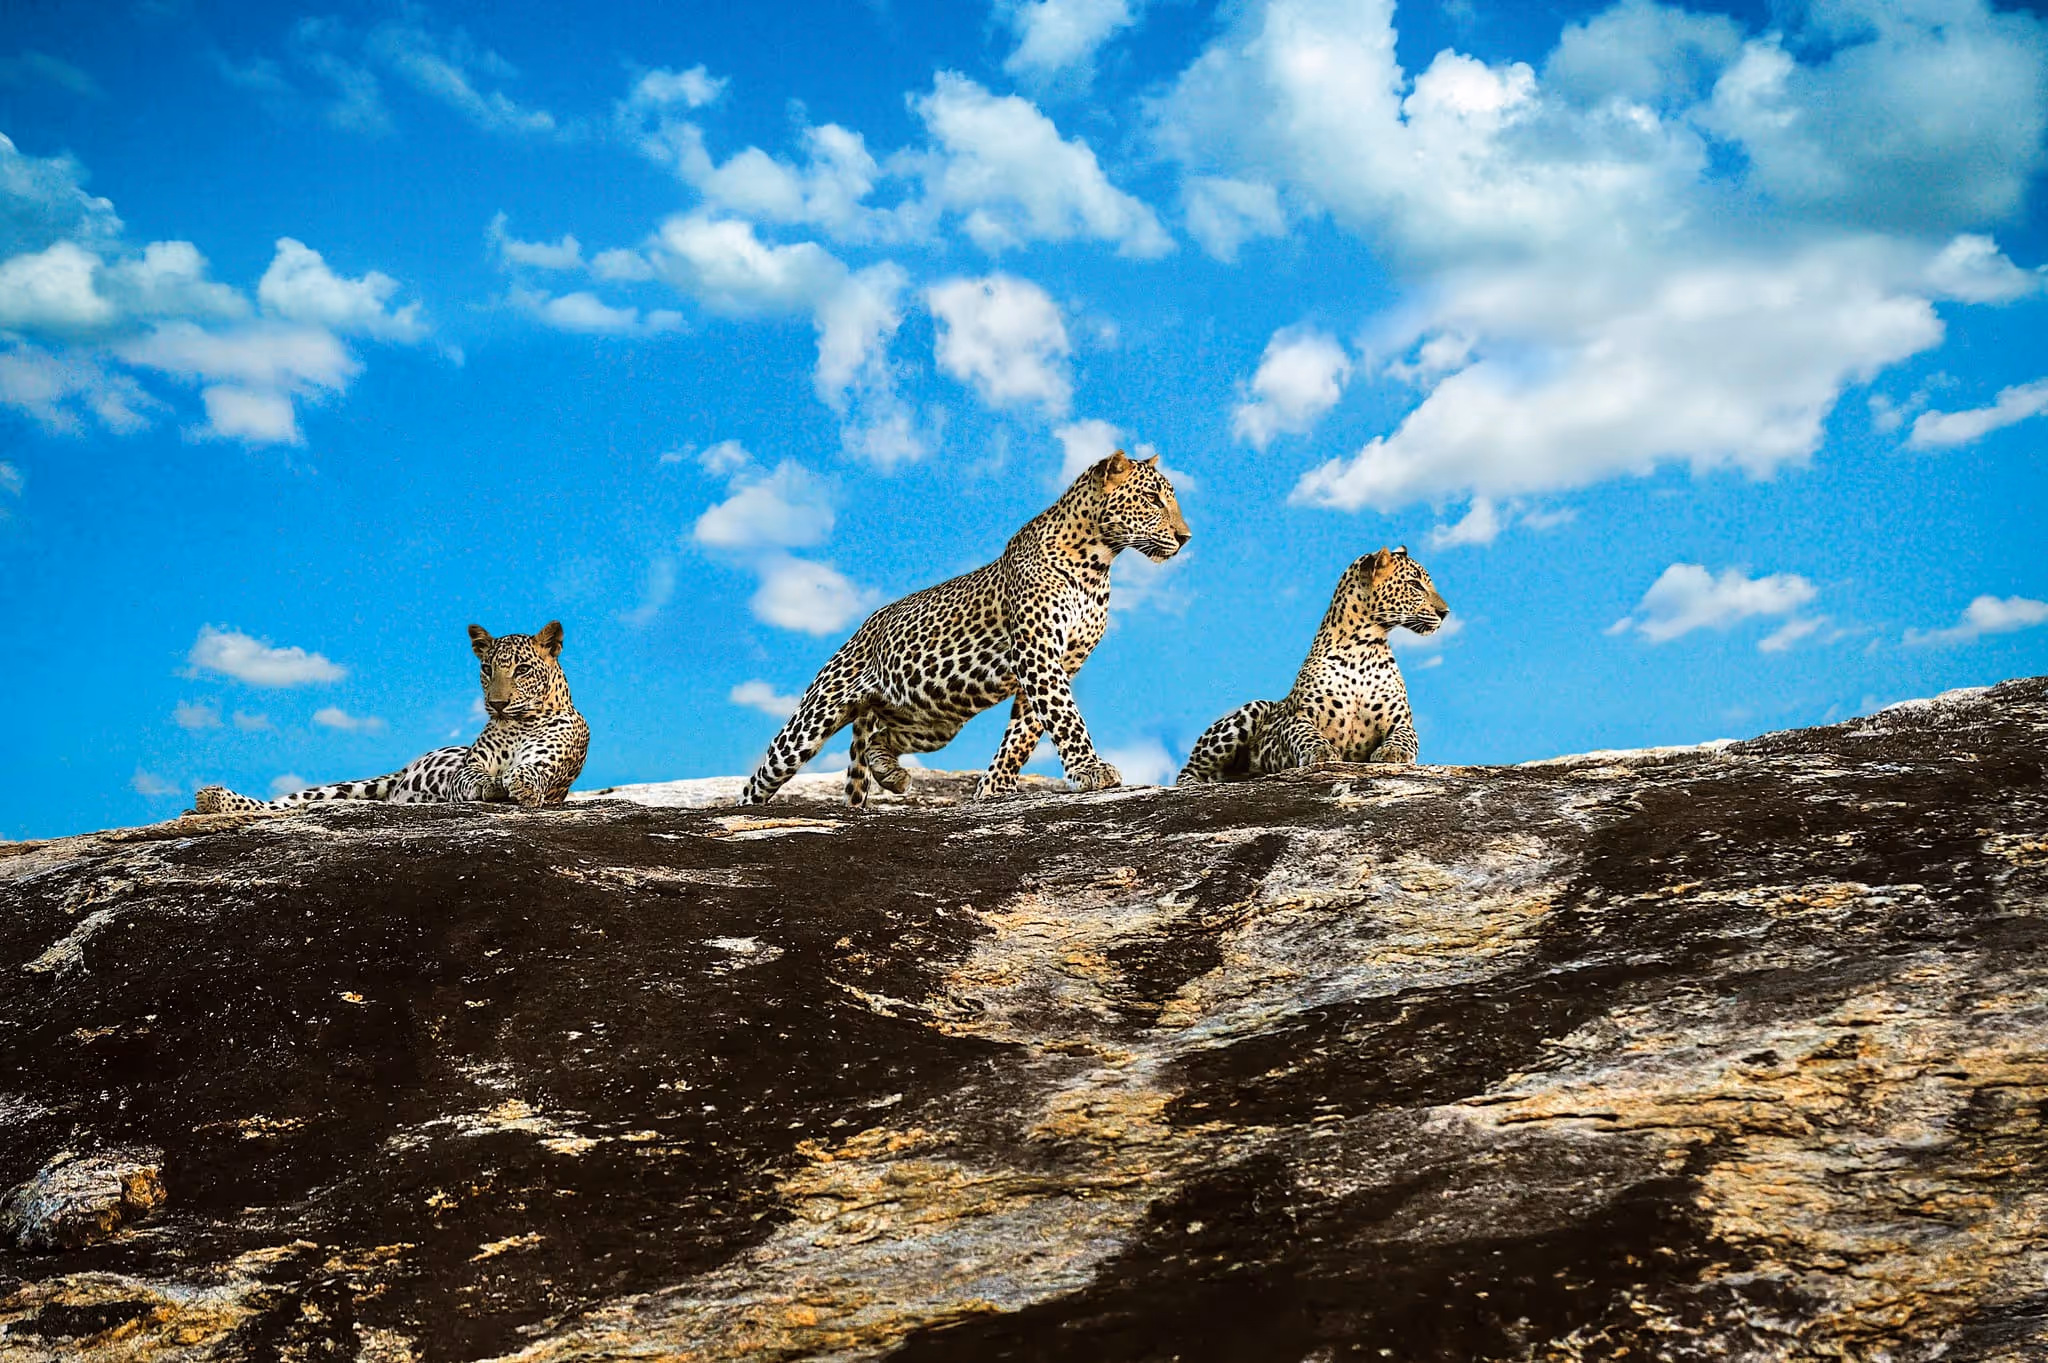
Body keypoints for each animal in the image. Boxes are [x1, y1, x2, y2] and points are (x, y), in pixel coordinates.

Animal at [188, 622, 590, 814]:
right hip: (353, 788)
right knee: (286, 803)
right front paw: (489, 785)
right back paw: (212, 799)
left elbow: (531, 770)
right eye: (487, 669)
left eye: (522, 669)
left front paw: (521, 785)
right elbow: (472, 775)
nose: (497, 704)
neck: (519, 722)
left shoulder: (551, 761)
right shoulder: (469, 764)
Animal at [742, 449, 1191, 810]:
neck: (1097, 564)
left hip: (934, 721)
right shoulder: (1038, 653)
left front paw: (994, 788)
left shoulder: (1061, 661)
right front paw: (1091, 768)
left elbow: (1024, 733)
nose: (1185, 537)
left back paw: (893, 775)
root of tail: (867, 625)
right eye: (1152, 499)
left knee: (877, 739)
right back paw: (744, 811)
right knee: (764, 774)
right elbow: (1064, 715)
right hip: (815, 715)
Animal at [1178, 547, 1449, 783]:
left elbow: (1404, 737)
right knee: (1188, 771)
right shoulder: (1297, 717)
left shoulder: (1401, 721)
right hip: (1253, 710)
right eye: (1415, 585)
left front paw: (1393, 752)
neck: (1363, 648)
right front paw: (1321, 752)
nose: (1445, 612)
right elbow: (1307, 734)